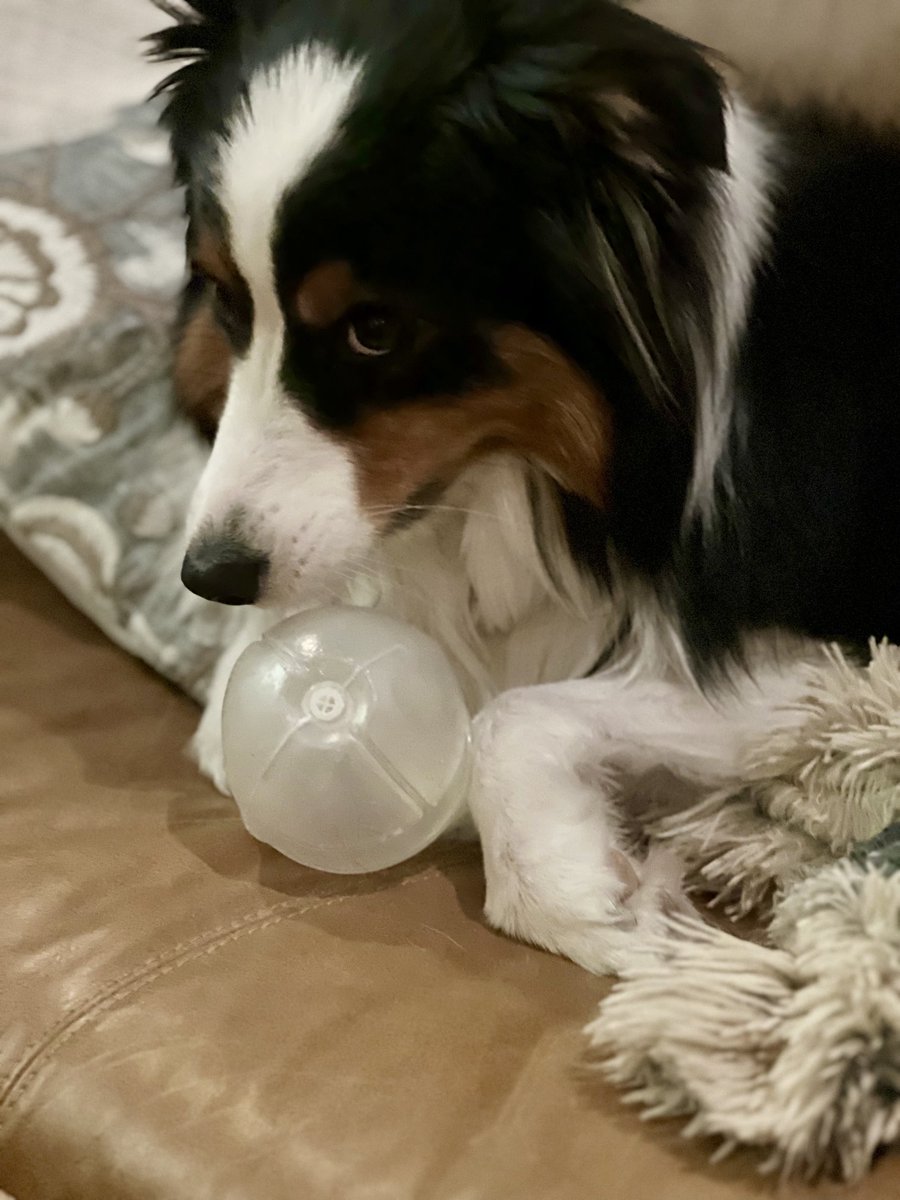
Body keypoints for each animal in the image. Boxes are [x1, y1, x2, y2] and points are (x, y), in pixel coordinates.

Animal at [151, 0, 900, 974]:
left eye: (375, 330)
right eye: (228, 301)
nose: (212, 575)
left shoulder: (825, 654)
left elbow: (507, 716)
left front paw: (577, 891)